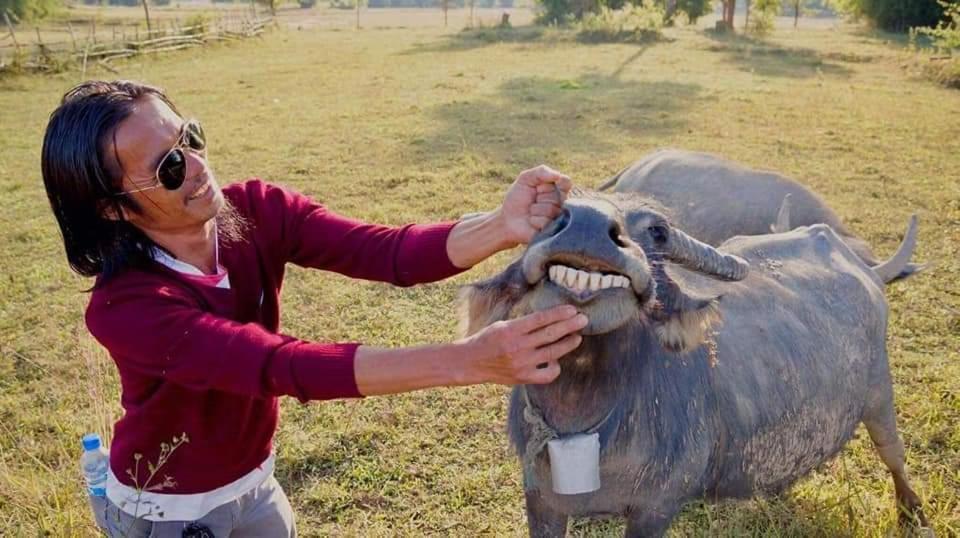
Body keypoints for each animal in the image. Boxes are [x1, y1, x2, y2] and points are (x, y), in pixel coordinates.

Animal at [462, 191, 928, 532]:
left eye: (656, 231)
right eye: (552, 209)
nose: (589, 224)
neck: (586, 418)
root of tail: (864, 268)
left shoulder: (656, 507)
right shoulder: (540, 502)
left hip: (880, 394)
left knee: (894, 453)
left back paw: (913, 513)